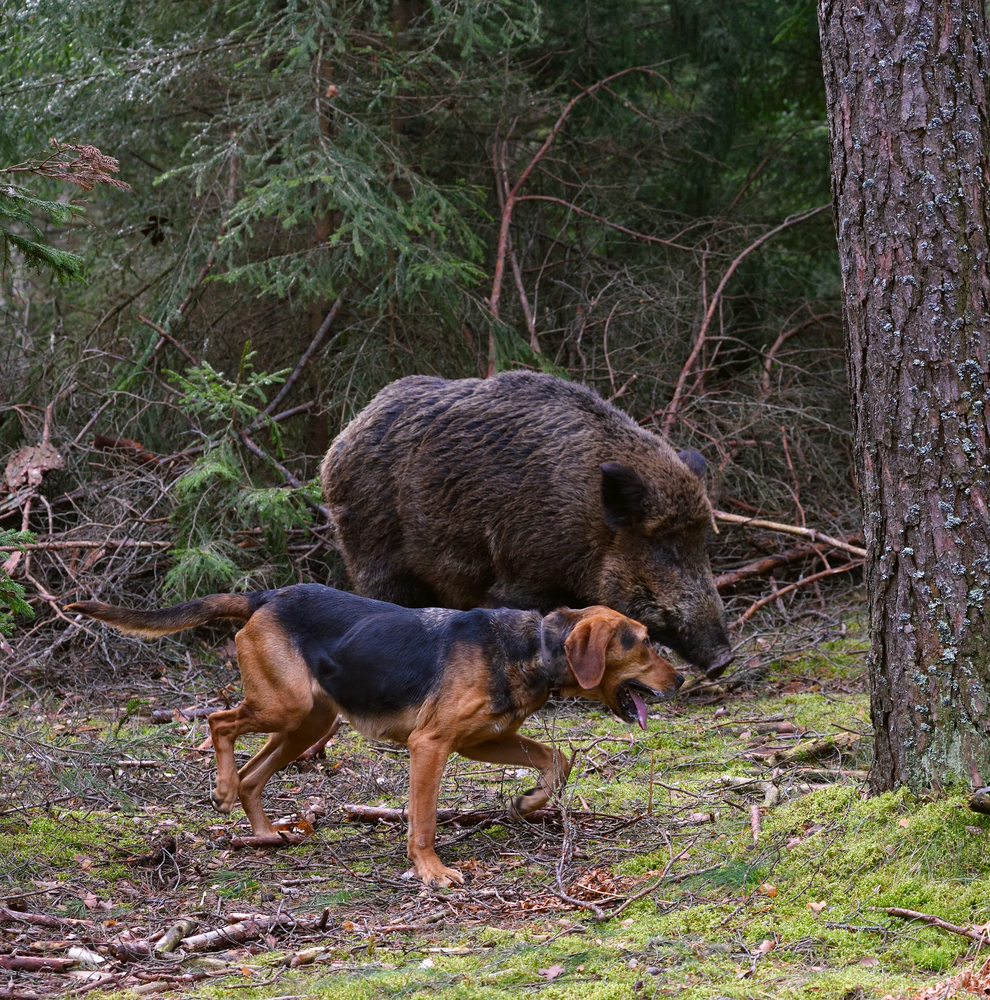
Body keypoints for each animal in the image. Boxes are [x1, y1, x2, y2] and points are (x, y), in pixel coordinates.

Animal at [68, 584, 680, 888]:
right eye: (645, 643)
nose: (682, 680)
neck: (535, 645)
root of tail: (267, 596)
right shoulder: (430, 746)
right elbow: (423, 822)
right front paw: (432, 873)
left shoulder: (481, 740)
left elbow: (557, 759)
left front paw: (528, 803)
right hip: (283, 707)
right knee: (219, 724)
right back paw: (219, 789)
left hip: (308, 722)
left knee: (253, 775)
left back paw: (263, 834)